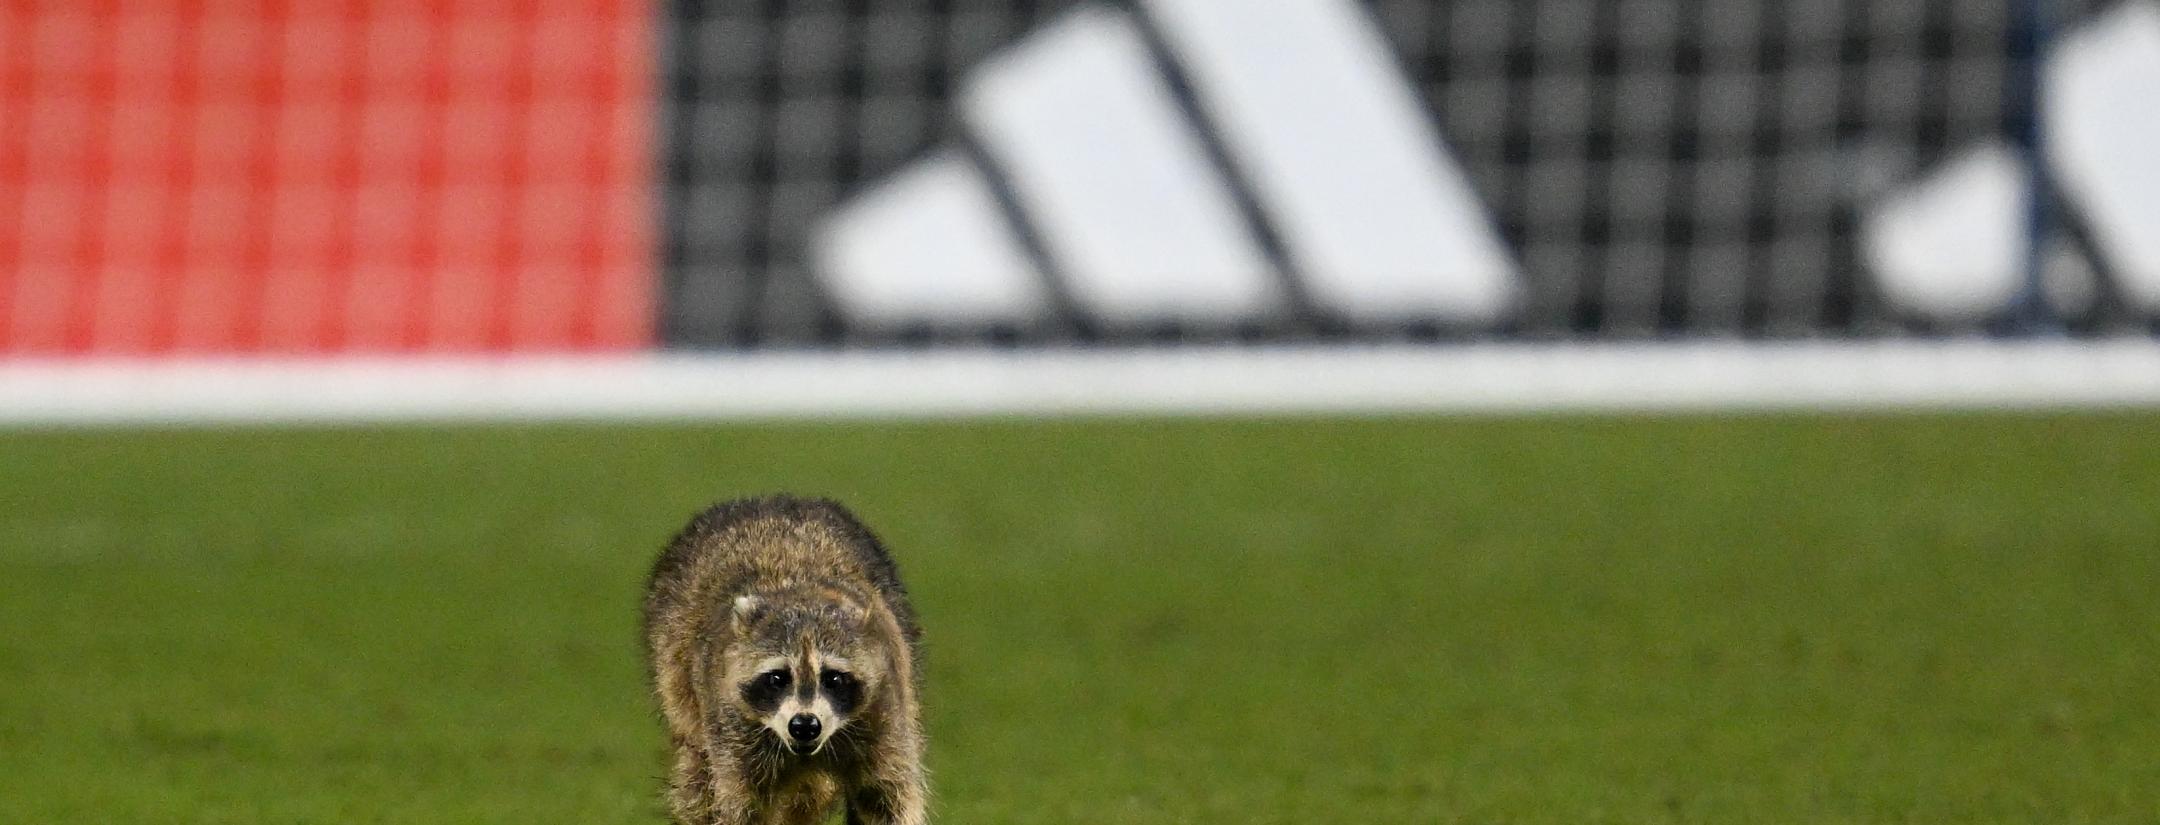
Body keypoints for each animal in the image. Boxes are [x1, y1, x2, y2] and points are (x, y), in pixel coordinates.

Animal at [642, 496, 928, 825]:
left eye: (833, 678)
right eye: (777, 678)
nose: (805, 725)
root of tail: (771, 500)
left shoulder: (884, 709)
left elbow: (886, 797)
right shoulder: (731, 724)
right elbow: (744, 805)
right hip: (678, 682)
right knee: (697, 780)